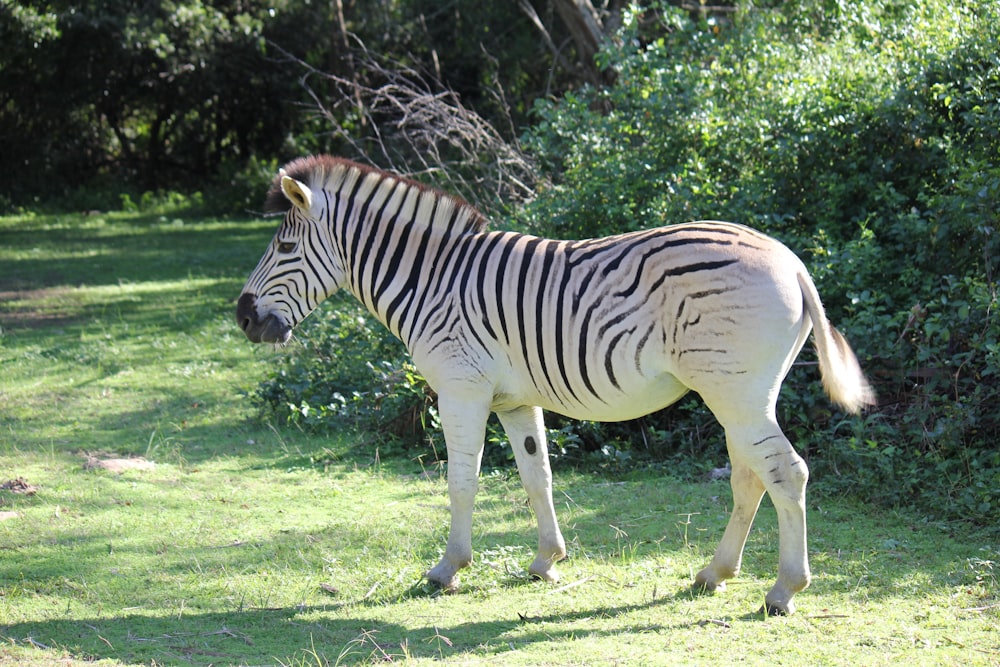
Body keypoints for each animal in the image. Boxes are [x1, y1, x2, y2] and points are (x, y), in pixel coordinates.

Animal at [236, 155, 876, 616]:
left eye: (286, 247)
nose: (242, 318)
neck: (431, 281)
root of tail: (792, 260)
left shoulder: (461, 388)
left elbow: (461, 482)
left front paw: (447, 570)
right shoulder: (516, 400)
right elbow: (536, 476)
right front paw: (547, 561)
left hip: (735, 392)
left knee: (787, 473)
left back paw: (784, 590)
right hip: (742, 394)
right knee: (750, 476)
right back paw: (713, 574)